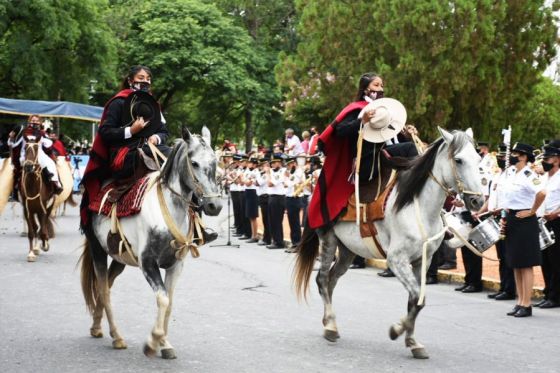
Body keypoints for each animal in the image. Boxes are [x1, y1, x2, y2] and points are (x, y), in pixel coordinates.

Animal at [79, 127, 223, 358]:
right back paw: (117, 336)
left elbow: (170, 302)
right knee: (103, 289)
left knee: (107, 285)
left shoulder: (176, 265)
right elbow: (163, 298)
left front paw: (165, 344)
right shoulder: (148, 263)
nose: (214, 206)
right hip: (98, 250)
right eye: (194, 163)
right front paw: (153, 341)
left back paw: (96, 326)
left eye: (215, 161)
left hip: (120, 257)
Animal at [294, 127, 486, 358]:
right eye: (458, 160)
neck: (418, 206)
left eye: (478, 159)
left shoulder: (423, 260)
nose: (478, 201)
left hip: (347, 251)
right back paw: (330, 326)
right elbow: (418, 298)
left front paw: (412, 342)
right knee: (322, 280)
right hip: (328, 241)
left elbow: (415, 300)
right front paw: (397, 330)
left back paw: (329, 323)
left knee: (331, 280)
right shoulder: (396, 260)